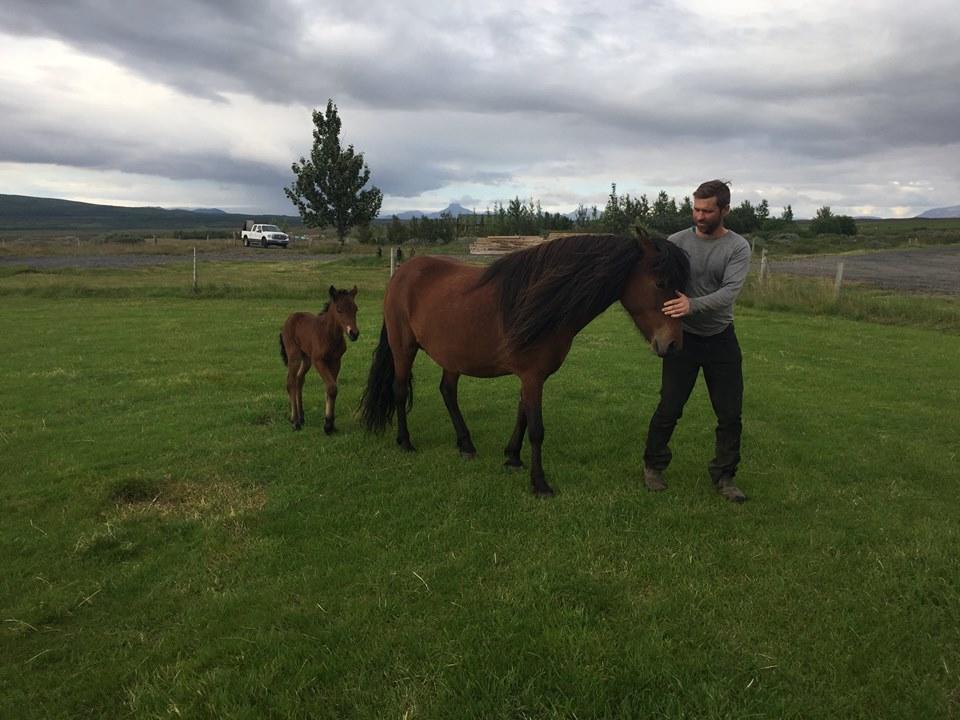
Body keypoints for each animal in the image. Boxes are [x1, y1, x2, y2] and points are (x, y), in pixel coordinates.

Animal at [284, 286, 362, 434]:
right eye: (339, 309)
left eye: (355, 309)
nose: (353, 333)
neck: (329, 334)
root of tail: (291, 317)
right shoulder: (319, 361)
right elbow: (331, 387)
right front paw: (328, 425)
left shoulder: (336, 361)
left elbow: (330, 388)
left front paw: (331, 423)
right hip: (294, 355)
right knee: (291, 381)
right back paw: (295, 421)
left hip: (307, 359)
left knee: (299, 379)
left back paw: (301, 417)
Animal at [360, 233, 688, 498]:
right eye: (660, 283)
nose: (673, 344)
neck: (540, 300)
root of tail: (402, 273)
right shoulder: (532, 376)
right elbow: (537, 428)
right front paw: (540, 484)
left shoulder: (532, 377)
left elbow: (522, 416)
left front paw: (512, 458)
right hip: (403, 348)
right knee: (400, 390)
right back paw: (405, 442)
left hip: (451, 356)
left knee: (447, 392)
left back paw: (466, 445)